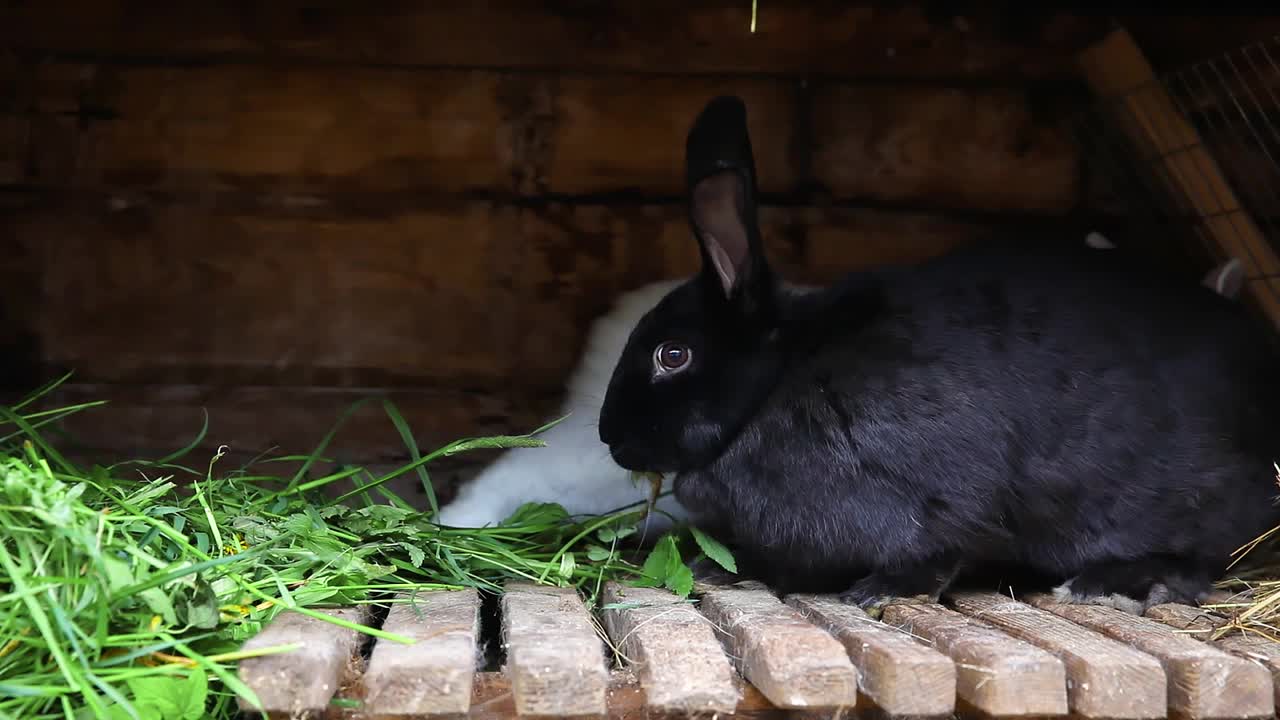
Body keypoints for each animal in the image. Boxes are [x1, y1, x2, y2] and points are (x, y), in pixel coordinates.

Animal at [593, 94, 1280, 609]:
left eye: (672, 355)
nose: (609, 436)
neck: (779, 379)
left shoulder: (928, 504)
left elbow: (935, 552)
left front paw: (873, 593)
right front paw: (717, 568)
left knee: (1210, 555)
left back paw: (1113, 581)